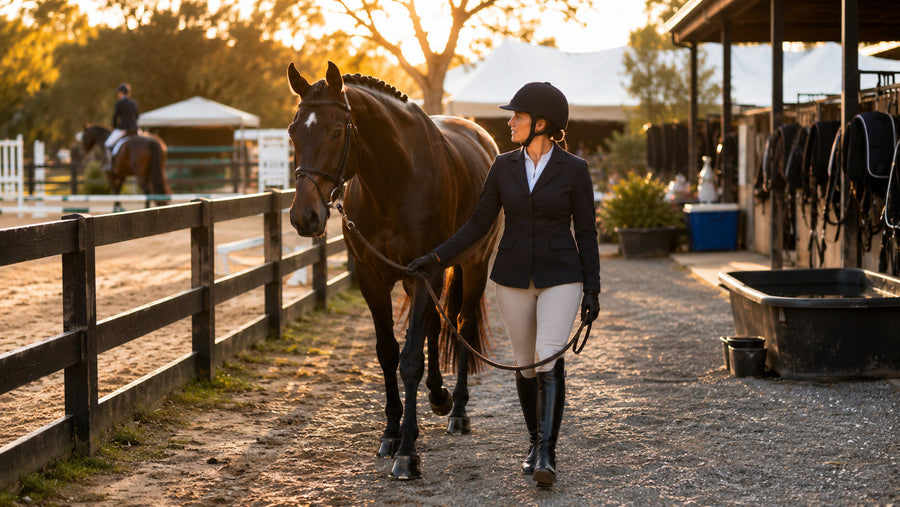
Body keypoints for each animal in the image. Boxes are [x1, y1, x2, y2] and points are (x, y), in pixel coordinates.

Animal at [286, 61, 501, 480]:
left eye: (337, 131)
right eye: (293, 131)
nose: (305, 217)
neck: (395, 179)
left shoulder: (423, 273)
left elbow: (410, 360)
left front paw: (407, 453)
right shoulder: (374, 277)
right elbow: (388, 352)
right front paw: (391, 433)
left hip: (474, 265)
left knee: (463, 325)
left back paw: (458, 411)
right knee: (435, 325)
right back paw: (438, 396)